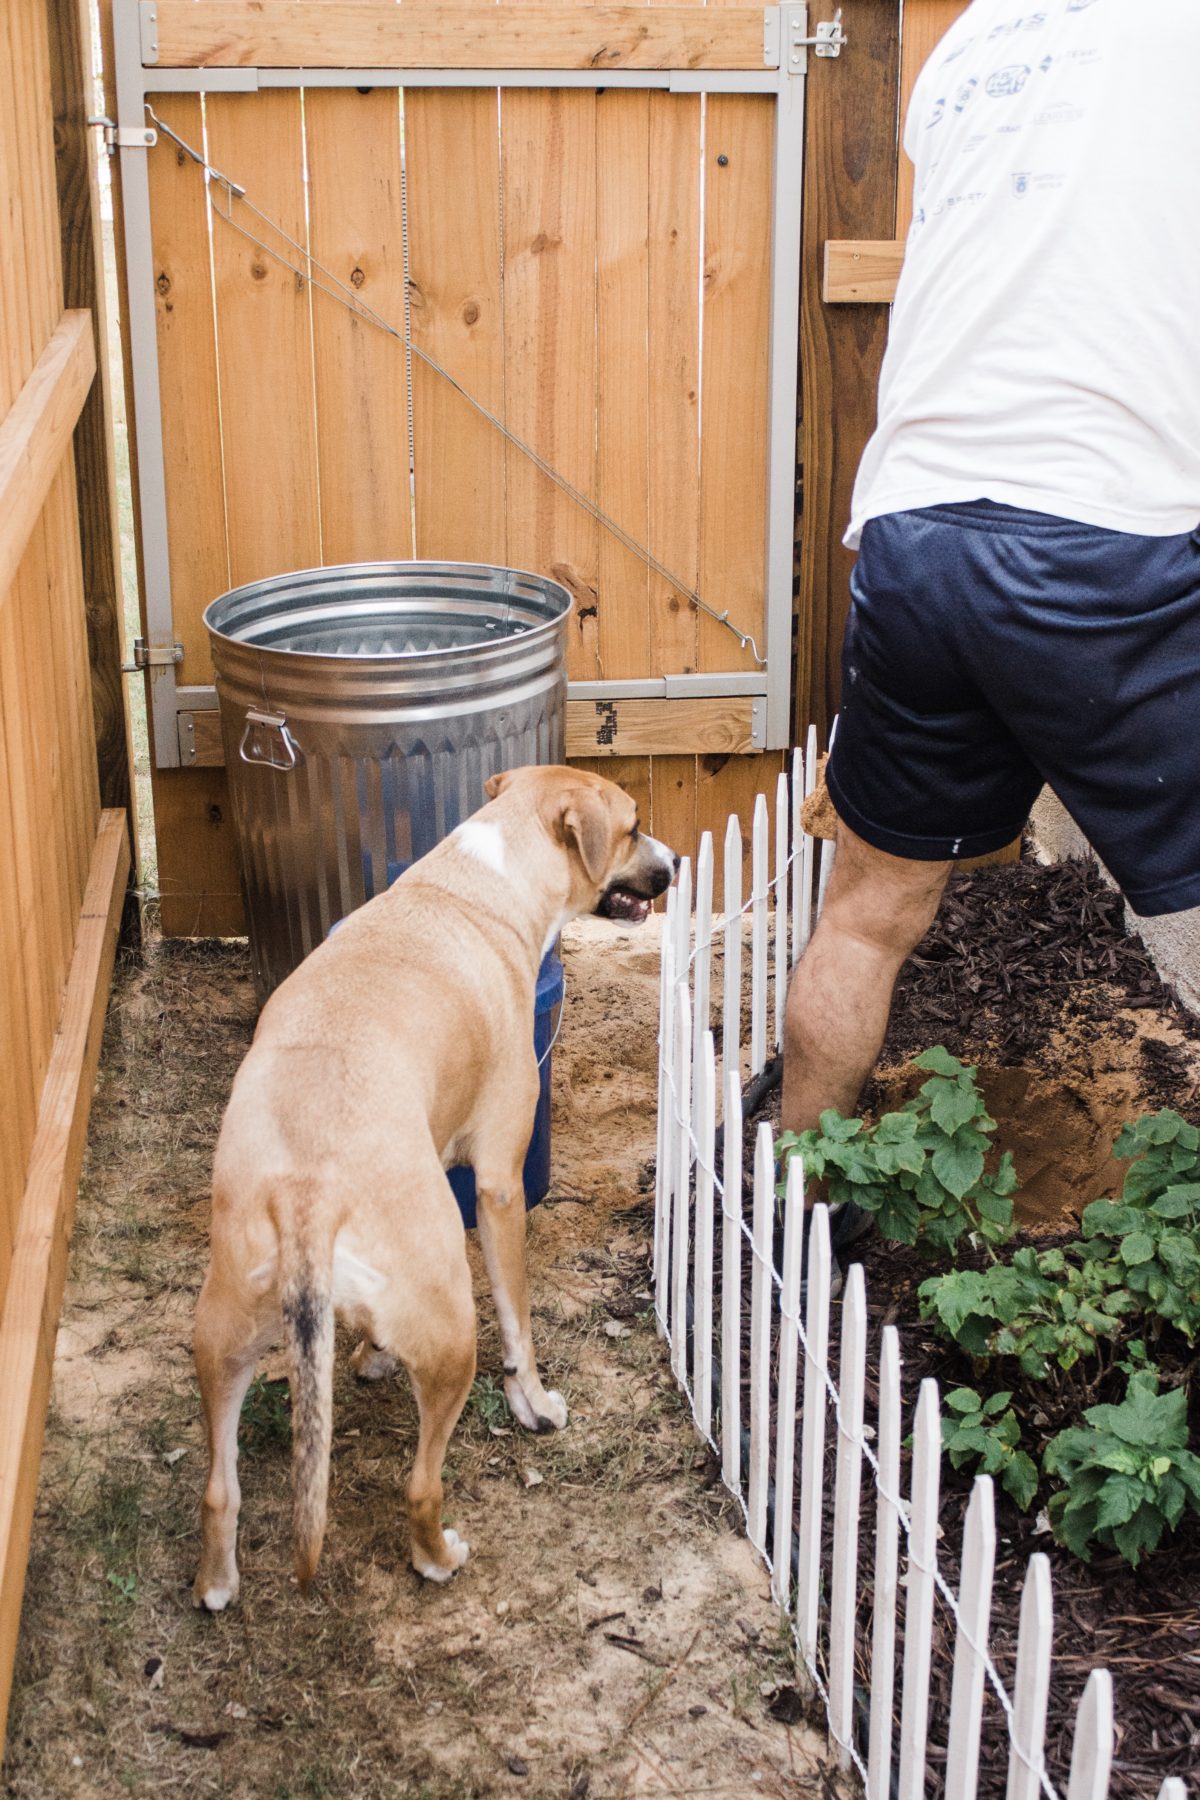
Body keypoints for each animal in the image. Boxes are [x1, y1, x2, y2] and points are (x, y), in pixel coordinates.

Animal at [192, 766, 672, 1612]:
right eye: (632, 826)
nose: (674, 865)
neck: (483, 882)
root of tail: (310, 1192)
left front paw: (375, 1352)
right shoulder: (499, 1188)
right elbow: (518, 1322)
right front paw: (534, 1404)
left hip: (221, 1337)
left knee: (219, 1490)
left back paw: (218, 1584)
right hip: (453, 1338)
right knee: (421, 1485)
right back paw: (439, 1556)